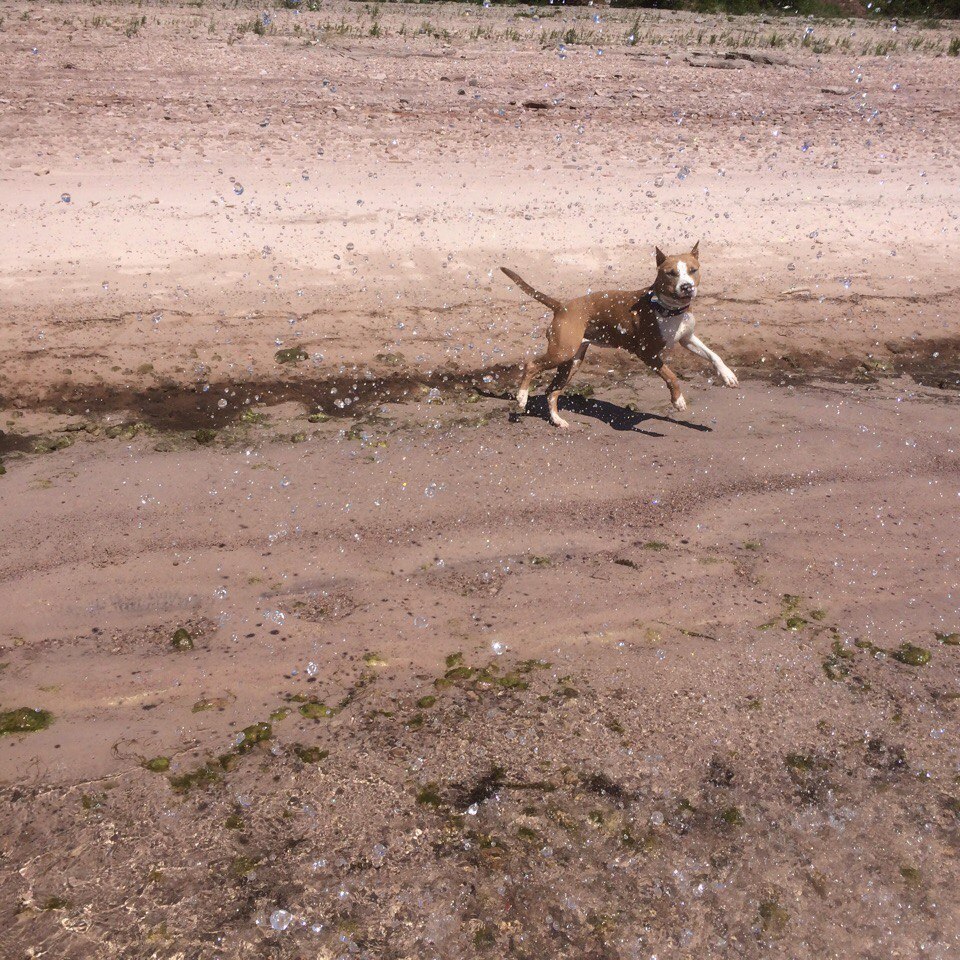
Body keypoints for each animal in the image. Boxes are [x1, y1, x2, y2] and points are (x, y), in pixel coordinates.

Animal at [498, 242, 740, 430]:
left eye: (693, 270)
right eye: (671, 273)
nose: (687, 287)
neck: (667, 309)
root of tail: (562, 306)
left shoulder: (687, 338)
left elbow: (714, 355)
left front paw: (727, 376)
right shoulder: (647, 353)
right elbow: (671, 375)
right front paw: (678, 400)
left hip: (572, 361)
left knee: (552, 391)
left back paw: (557, 420)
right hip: (562, 352)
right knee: (531, 366)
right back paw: (521, 397)